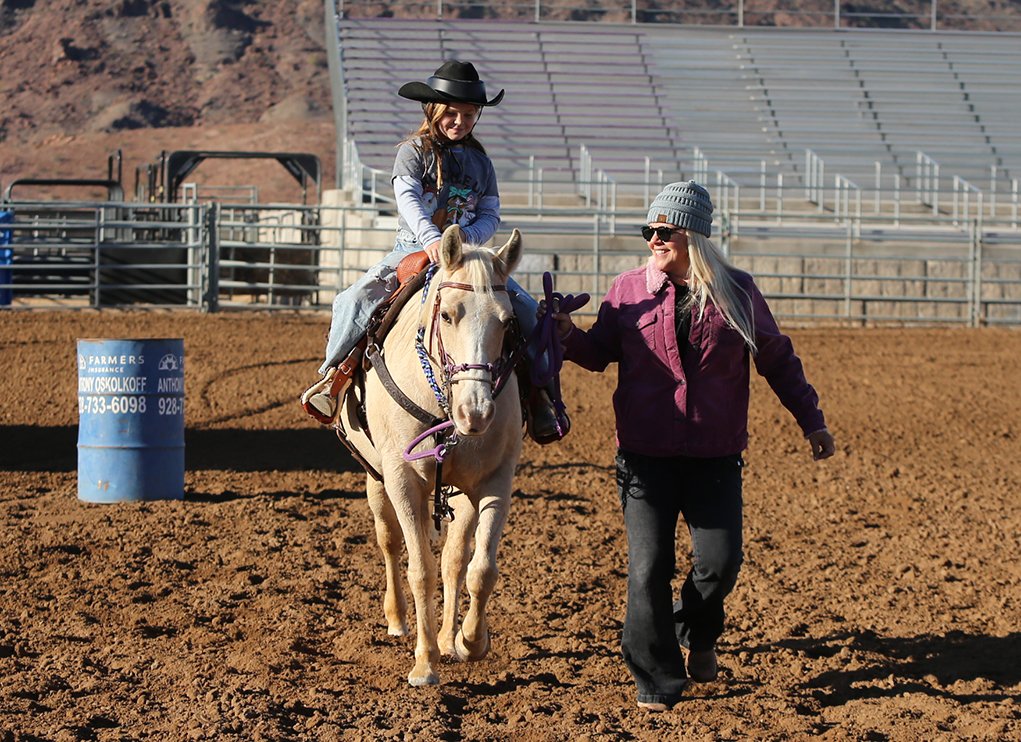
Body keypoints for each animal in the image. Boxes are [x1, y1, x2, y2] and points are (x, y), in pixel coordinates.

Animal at [338, 224, 522, 685]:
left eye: (508, 322)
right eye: (448, 315)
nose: (477, 412)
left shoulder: (493, 481)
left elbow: (479, 568)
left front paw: (469, 641)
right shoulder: (402, 480)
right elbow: (419, 569)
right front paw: (424, 662)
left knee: (455, 559)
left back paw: (449, 639)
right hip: (376, 478)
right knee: (389, 542)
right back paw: (398, 620)